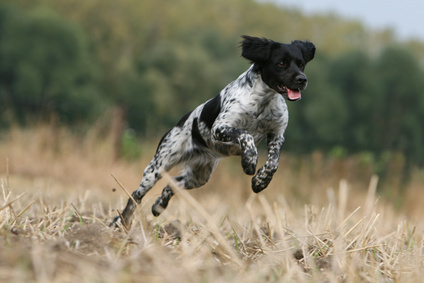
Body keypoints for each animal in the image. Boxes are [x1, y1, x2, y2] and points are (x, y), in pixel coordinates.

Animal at [111, 35, 316, 227]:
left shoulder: (277, 134)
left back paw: (158, 206)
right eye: (281, 63)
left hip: (200, 175)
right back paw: (121, 222)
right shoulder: (220, 127)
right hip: (158, 167)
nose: (302, 80)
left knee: (172, 184)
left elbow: (273, 163)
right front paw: (249, 162)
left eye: (301, 64)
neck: (263, 101)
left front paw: (260, 181)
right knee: (136, 196)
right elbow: (246, 135)